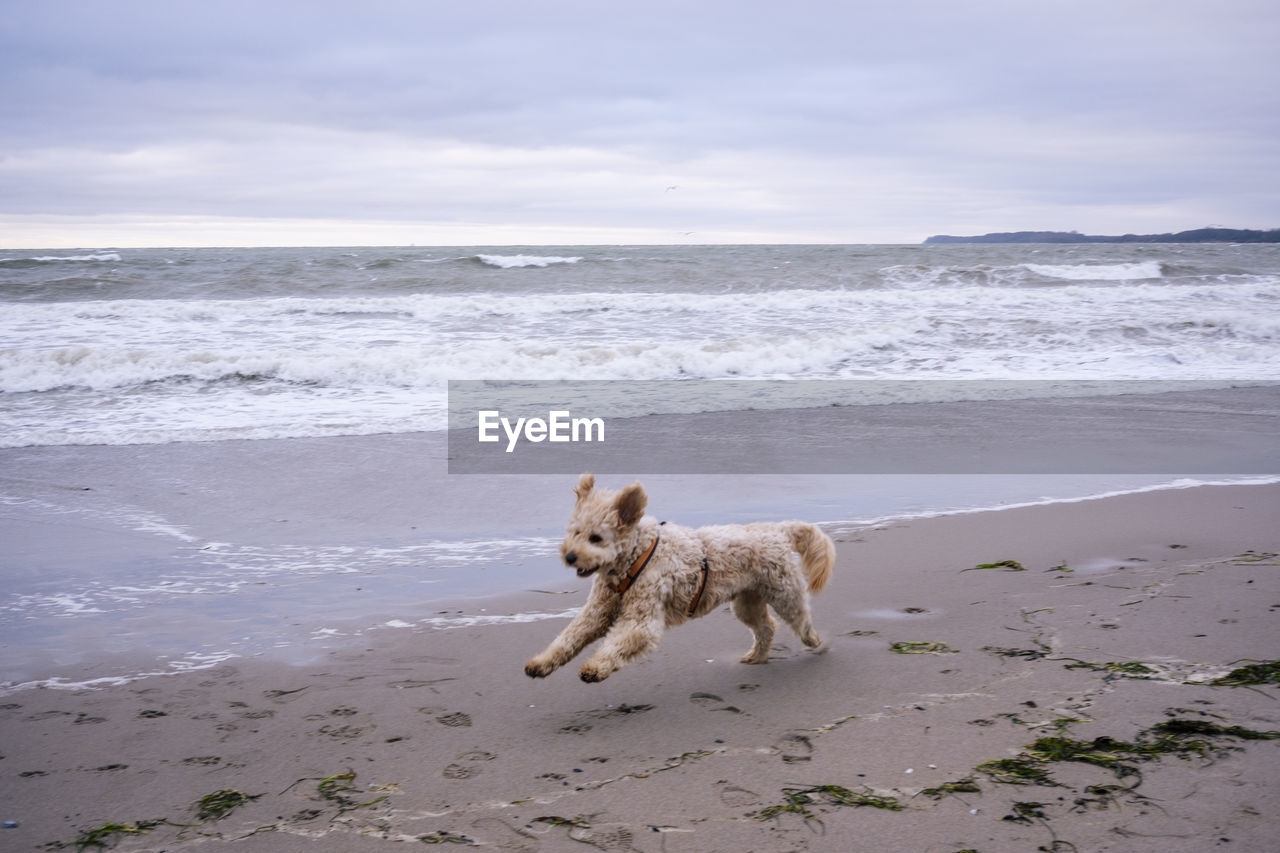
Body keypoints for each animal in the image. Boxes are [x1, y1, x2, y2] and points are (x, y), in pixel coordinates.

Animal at [522, 468, 839, 681]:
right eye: (574, 532)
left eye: (596, 538)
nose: (569, 556)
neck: (635, 557)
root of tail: (778, 530)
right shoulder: (596, 613)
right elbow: (568, 638)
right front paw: (541, 663)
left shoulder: (642, 621)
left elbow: (618, 643)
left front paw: (594, 667)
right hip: (747, 601)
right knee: (766, 628)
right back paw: (757, 657)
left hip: (785, 594)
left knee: (800, 622)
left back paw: (816, 643)